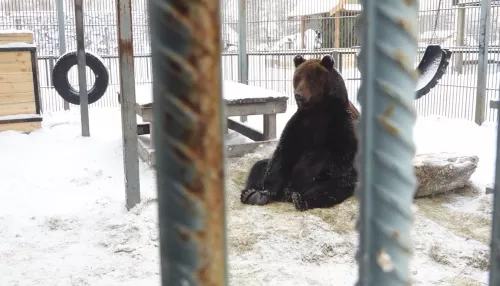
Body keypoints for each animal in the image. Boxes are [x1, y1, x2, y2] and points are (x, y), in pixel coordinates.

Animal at [240, 54, 358, 211]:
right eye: (297, 78)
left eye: (311, 79)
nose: (299, 95)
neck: (318, 109)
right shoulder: (300, 124)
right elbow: (284, 152)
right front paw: (266, 191)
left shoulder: (341, 123)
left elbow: (341, 157)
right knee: (259, 166)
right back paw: (254, 194)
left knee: (337, 185)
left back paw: (300, 198)